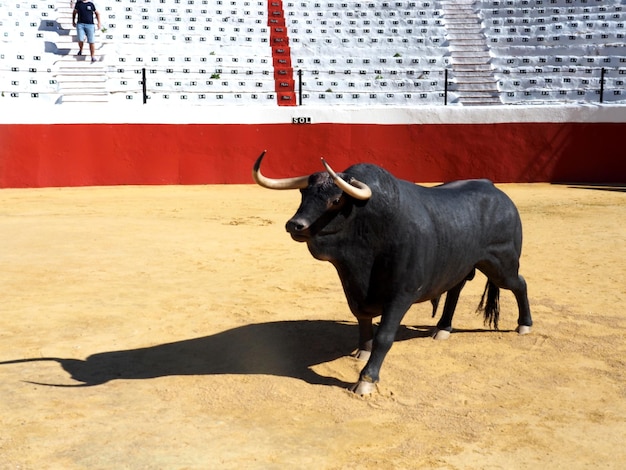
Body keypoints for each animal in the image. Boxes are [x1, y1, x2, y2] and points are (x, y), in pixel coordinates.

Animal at [254, 152, 532, 394]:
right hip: (462, 264)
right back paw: (442, 329)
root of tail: (497, 192)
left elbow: (385, 335)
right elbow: (362, 321)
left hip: (502, 264)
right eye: (304, 193)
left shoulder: (401, 294)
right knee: (455, 290)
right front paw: (362, 352)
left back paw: (524, 325)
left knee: (519, 284)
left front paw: (366, 380)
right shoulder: (355, 290)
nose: (295, 225)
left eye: (335, 201)